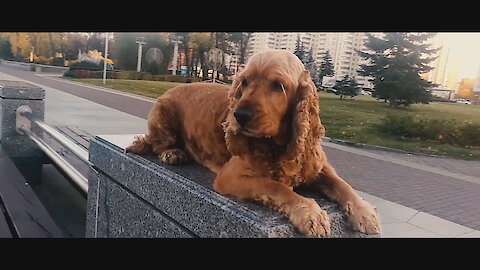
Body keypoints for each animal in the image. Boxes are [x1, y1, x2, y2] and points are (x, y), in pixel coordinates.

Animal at [125, 49, 380, 237]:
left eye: (278, 85)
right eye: (245, 82)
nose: (239, 115)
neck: (279, 145)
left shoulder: (317, 166)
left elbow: (342, 185)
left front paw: (364, 212)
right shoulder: (231, 176)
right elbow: (276, 187)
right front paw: (310, 213)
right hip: (163, 118)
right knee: (157, 143)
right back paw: (172, 153)